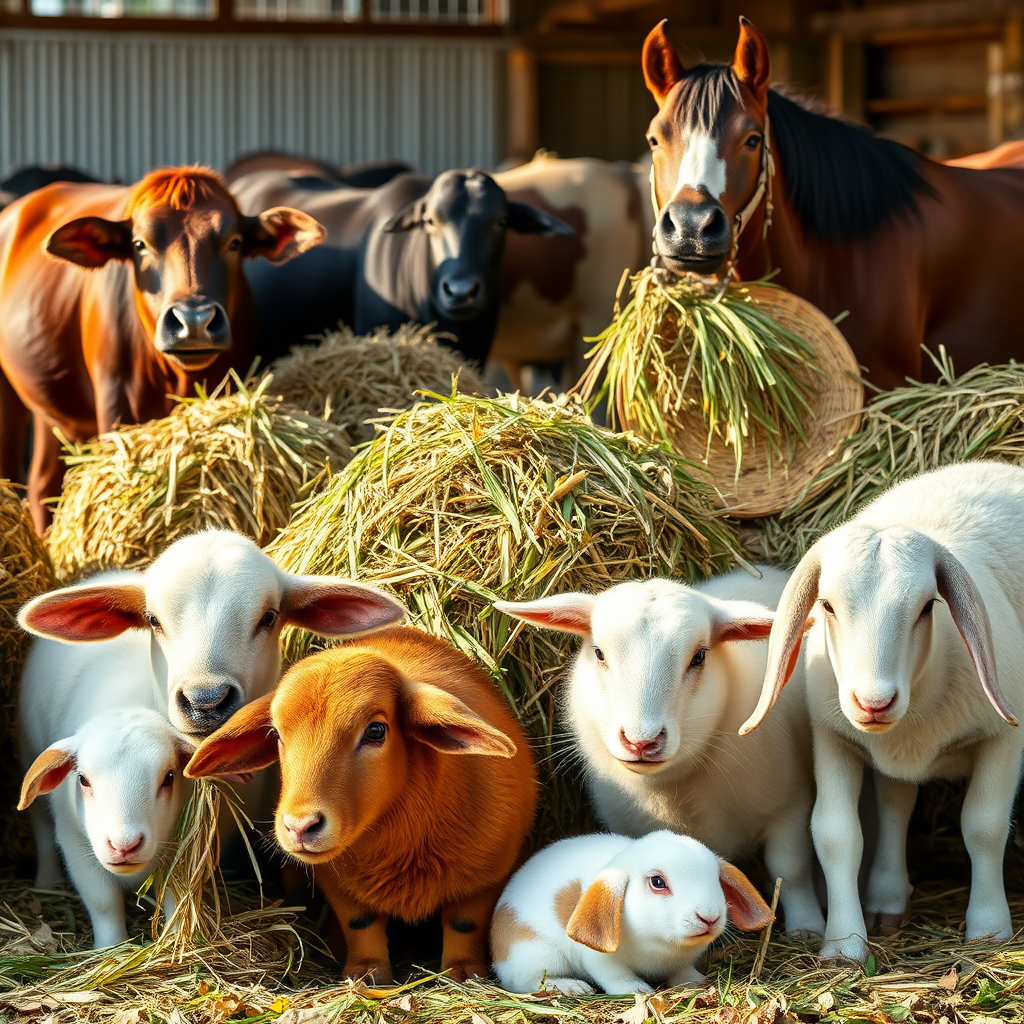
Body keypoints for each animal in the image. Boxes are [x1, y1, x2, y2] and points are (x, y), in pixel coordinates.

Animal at [18, 707, 194, 948]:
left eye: (169, 777)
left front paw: (174, 941)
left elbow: (175, 893)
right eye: (82, 779)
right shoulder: (74, 842)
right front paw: (111, 945)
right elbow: (103, 902)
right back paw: (47, 880)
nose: (124, 846)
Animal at [184, 626, 538, 984]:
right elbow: (361, 924)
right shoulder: (339, 885)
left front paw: (463, 973)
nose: (300, 826)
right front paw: (366, 973)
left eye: (376, 730)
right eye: (277, 734)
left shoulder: (487, 878)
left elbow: (464, 924)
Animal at [492, 829, 773, 995]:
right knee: (528, 982)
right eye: (657, 882)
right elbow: (617, 977)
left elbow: (682, 972)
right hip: (535, 955)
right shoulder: (601, 961)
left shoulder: (680, 963)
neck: (661, 946)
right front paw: (639, 990)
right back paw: (574, 987)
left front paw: (697, 981)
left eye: (715, 878)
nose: (709, 918)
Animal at [493, 566, 825, 937]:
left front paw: (807, 928)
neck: (672, 795)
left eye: (699, 656)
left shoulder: (789, 805)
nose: (641, 741)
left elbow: (790, 869)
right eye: (599, 653)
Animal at [740, 460, 1024, 963]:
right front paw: (843, 945)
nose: (873, 702)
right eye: (827, 605)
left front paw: (990, 930)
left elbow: (985, 827)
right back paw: (886, 899)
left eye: (928, 606)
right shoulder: (833, 739)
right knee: (896, 804)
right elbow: (836, 834)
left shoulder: (1004, 739)